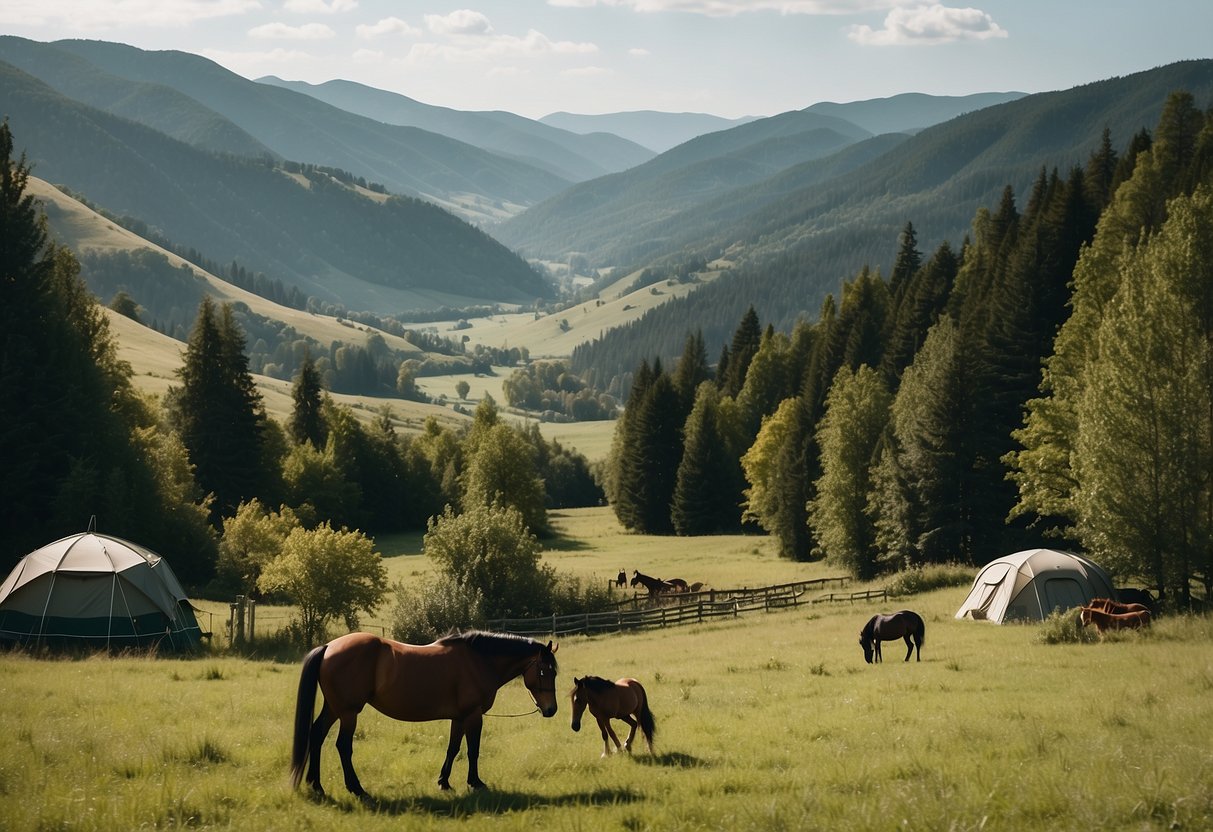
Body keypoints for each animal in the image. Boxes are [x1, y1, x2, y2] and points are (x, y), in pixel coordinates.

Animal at [291, 630, 560, 800]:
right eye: (544, 671)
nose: (551, 710)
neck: (478, 661)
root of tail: (329, 647)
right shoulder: (473, 715)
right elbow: (473, 750)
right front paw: (475, 782)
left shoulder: (459, 718)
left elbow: (453, 748)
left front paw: (444, 781)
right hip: (348, 712)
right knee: (343, 746)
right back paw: (357, 789)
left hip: (334, 708)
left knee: (316, 735)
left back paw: (316, 785)